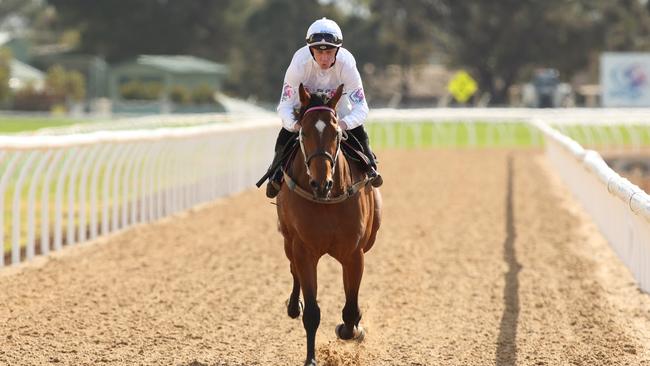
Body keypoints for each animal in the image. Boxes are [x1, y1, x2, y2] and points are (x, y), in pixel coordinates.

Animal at [274, 83, 380, 366]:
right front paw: (311, 359)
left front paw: (351, 329)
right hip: (287, 239)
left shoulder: (354, 254)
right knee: (292, 269)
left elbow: (351, 309)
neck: (327, 200)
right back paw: (293, 305)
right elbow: (312, 311)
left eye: (336, 132)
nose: (321, 184)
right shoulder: (304, 250)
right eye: (303, 131)